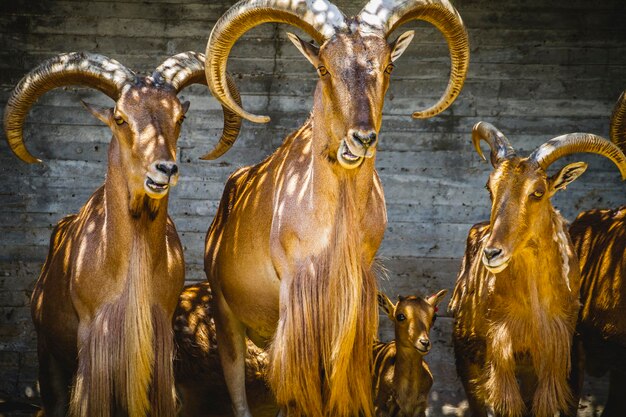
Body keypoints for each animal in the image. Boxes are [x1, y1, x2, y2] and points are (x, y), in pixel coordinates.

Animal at [202, 0, 466, 416]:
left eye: (388, 66)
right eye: (324, 68)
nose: (362, 138)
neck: (333, 221)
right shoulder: (298, 306)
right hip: (226, 314)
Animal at [448, 122, 624, 416]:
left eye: (538, 192)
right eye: (490, 188)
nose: (492, 253)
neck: (534, 309)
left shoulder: (551, 362)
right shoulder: (501, 358)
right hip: (468, 357)